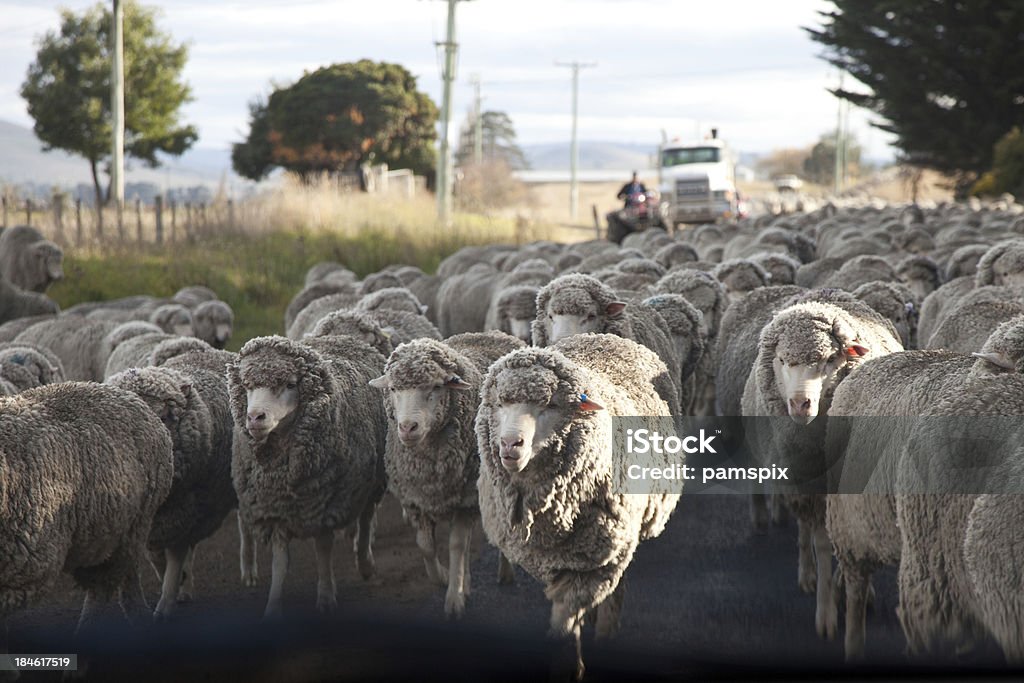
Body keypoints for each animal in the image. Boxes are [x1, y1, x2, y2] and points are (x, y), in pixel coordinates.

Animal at [229, 335, 387, 618]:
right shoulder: (276, 510)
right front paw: (273, 607)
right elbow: (280, 563)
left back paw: (366, 564)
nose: (255, 418)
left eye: (290, 384)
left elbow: (323, 551)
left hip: (373, 480)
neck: (282, 475)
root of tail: (344, 337)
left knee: (367, 519)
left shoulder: (324, 505)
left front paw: (325, 597)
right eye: (247, 386)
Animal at [366, 331, 524, 618]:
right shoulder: (415, 499)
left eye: (436, 388)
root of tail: (494, 333)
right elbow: (426, 545)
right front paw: (441, 577)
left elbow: (457, 547)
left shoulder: (465, 500)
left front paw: (454, 598)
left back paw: (505, 571)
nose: (407, 427)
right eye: (393, 389)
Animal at [477, 335, 679, 679]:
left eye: (550, 405)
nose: (509, 444)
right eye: (501, 404)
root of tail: (600, 336)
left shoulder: (598, 555)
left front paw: (570, 664)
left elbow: (567, 612)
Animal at [741, 296, 901, 643]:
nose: (800, 405)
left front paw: (845, 589)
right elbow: (822, 544)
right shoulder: (807, 484)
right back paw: (807, 573)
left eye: (829, 359)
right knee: (804, 529)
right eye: (783, 360)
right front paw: (826, 612)